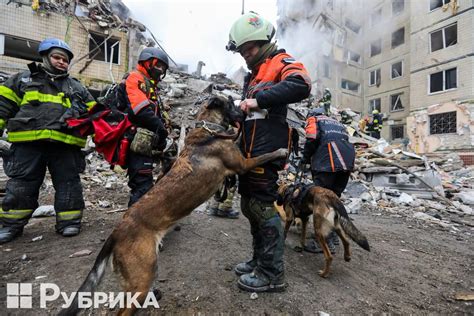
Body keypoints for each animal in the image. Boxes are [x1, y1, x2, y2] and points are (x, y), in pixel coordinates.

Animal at [59, 95, 288, 314]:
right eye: (231, 103)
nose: (246, 111)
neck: (208, 128)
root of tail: (117, 231)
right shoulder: (243, 164)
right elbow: (263, 155)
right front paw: (280, 151)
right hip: (142, 276)